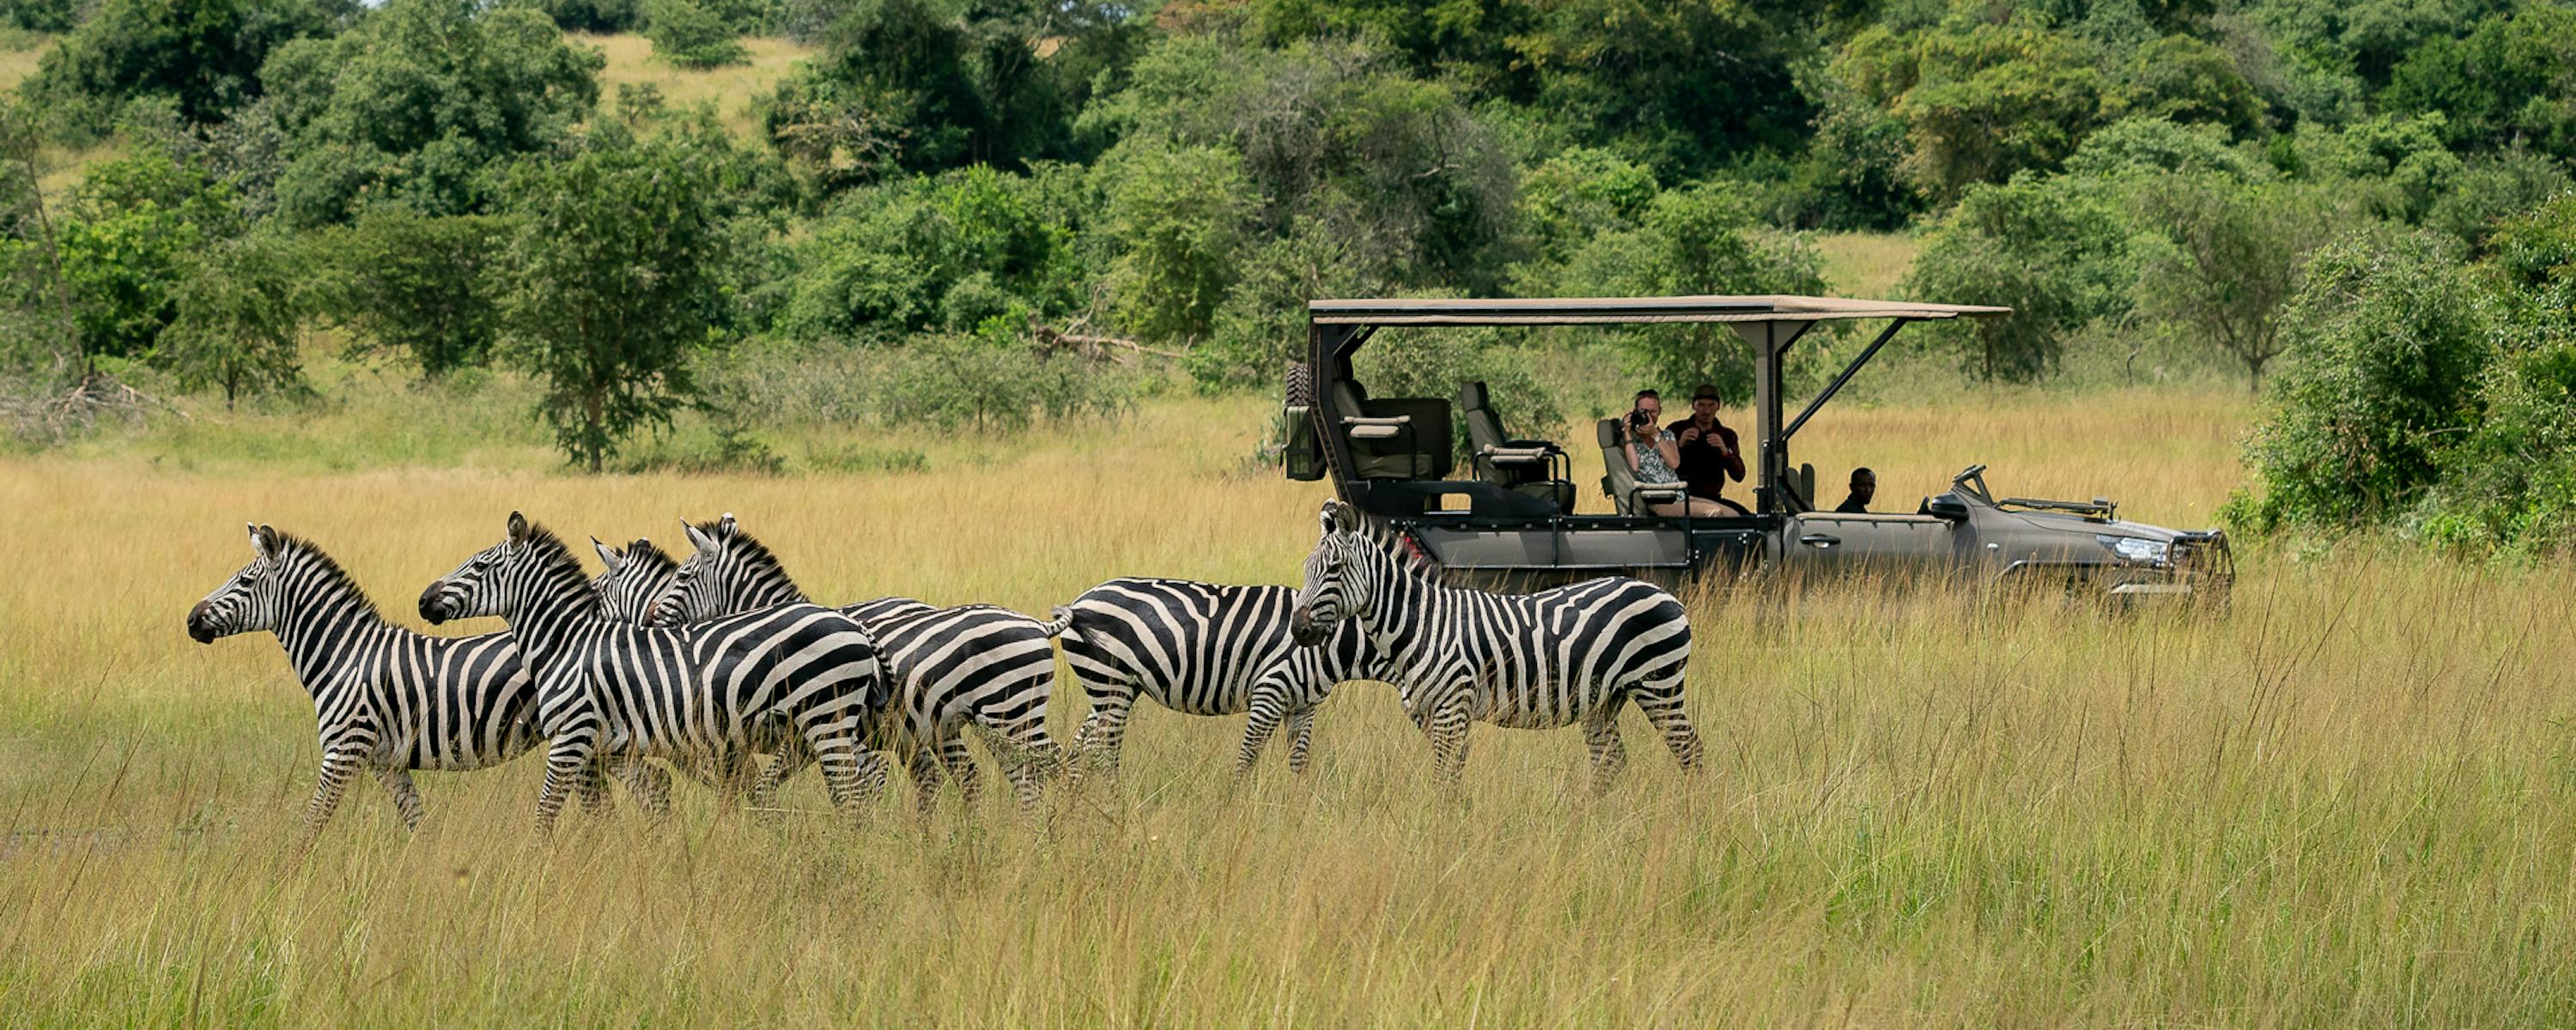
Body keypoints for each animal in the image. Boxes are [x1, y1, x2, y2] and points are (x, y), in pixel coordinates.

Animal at [185, 524, 666, 842]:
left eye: (245, 580)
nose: (191, 620)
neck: (344, 655)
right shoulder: (387, 761)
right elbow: (418, 824)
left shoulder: (343, 749)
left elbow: (313, 822)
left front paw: (287, 878)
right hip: (606, 739)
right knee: (649, 786)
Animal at [419, 512, 892, 832]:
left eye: (479, 567)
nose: (424, 601)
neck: (567, 642)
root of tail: (854, 625)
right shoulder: (611, 746)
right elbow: (635, 802)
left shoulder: (572, 736)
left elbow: (547, 811)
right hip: (820, 727)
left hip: (827, 719)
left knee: (854, 793)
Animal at [638, 513, 1063, 814]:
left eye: (683, 576)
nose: (652, 620)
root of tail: (1037, 623)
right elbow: (768, 787)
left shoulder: (846, 736)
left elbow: (857, 790)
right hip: (987, 722)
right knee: (1013, 776)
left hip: (1013, 713)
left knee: (1055, 763)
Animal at [1045, 577, 1383, 778]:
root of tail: (1078, 603)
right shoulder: (1270, 690)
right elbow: (1247, 758)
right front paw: (1234, 812)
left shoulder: (1303, 705)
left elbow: (1300, 762)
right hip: (1110, 682)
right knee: (1100, 752)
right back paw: (1113, 809)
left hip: (1109, 687)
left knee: (1079, 749)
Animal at [1288, 500, 1703, 793]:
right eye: (1307, 568)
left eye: (1335, 569)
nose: (1298, 629)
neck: (1422, 623)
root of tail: (1665, 593)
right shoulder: (1432, 713)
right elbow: (1451, 776)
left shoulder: (1452, 707)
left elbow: (1445, 779)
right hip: (1603, 699)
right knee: (1611, 761)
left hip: (1658, 686)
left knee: (1690, 751)